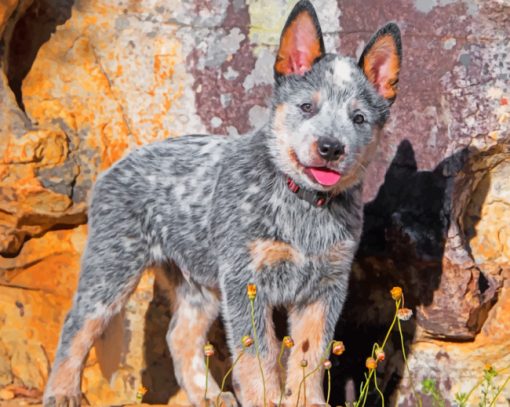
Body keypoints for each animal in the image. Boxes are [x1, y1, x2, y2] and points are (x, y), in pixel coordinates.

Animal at [42, 1, 402, 406]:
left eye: (359, 118)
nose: (330, 147)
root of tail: (115, 165)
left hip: (198, 283)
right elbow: (258, 355)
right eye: (307, 107)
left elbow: (311, 355)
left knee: (179, 336)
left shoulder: (326, 286)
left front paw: (306, 401)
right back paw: (61, 392)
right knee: (77, 324)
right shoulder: (246, 281)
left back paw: (209, 396)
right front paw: (266, 400)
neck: (304, 205)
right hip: (113, 269)